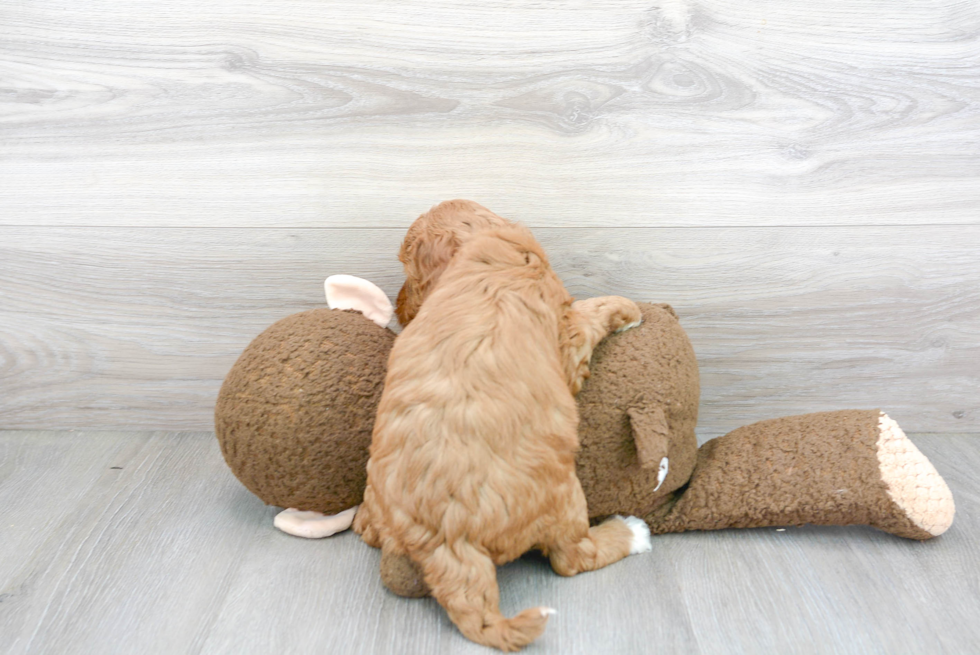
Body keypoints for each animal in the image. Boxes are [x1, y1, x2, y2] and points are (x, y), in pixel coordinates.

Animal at [354, 224, 652, 652]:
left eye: (408, 271)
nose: (399, 308)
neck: (489, 239)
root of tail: (448, 540)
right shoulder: (566, 336)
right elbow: (589, 314)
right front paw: (627, 310)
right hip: (564, 496)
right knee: (573, 557)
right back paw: (630, 532)